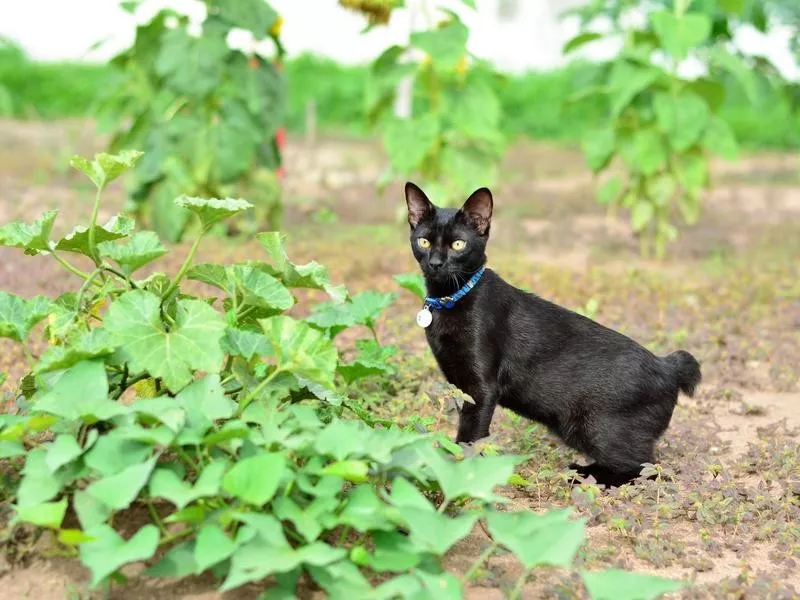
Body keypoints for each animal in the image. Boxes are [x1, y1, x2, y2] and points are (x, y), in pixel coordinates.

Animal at [406, 180, 700, 486]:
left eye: (458, 244)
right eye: (424, 242)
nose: (436, 263)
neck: (450, 299)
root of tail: (668, 366)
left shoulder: (481, 388)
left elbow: (470, 437)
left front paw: (459, 475)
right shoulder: (460, 383)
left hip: (594, 427)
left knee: (644, 468)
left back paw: (582, 474)